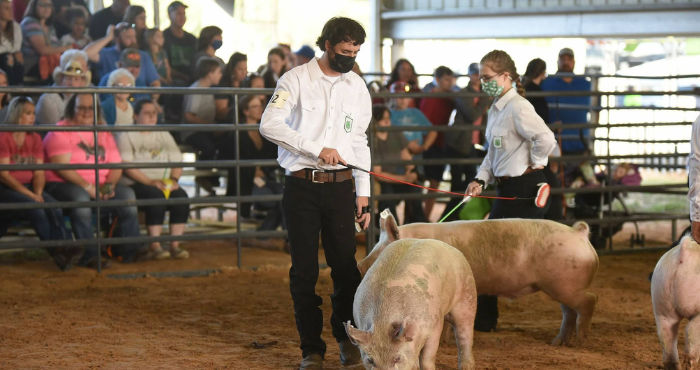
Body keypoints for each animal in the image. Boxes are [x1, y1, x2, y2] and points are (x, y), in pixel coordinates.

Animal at [344, 238, 476, 368]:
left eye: (397, 358)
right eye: (370, 360)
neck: (383, 321)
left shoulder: (435, 326)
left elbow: (427, 357)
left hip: (467, 295)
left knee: (464, 334)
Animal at [358, 211, 600, 346]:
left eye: (381, 249)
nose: (360, 265)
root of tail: (579, 233)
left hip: (565, 285)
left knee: (589, 301)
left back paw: (582, 341)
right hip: (562, 286)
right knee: (569, 311)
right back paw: (558, 343)